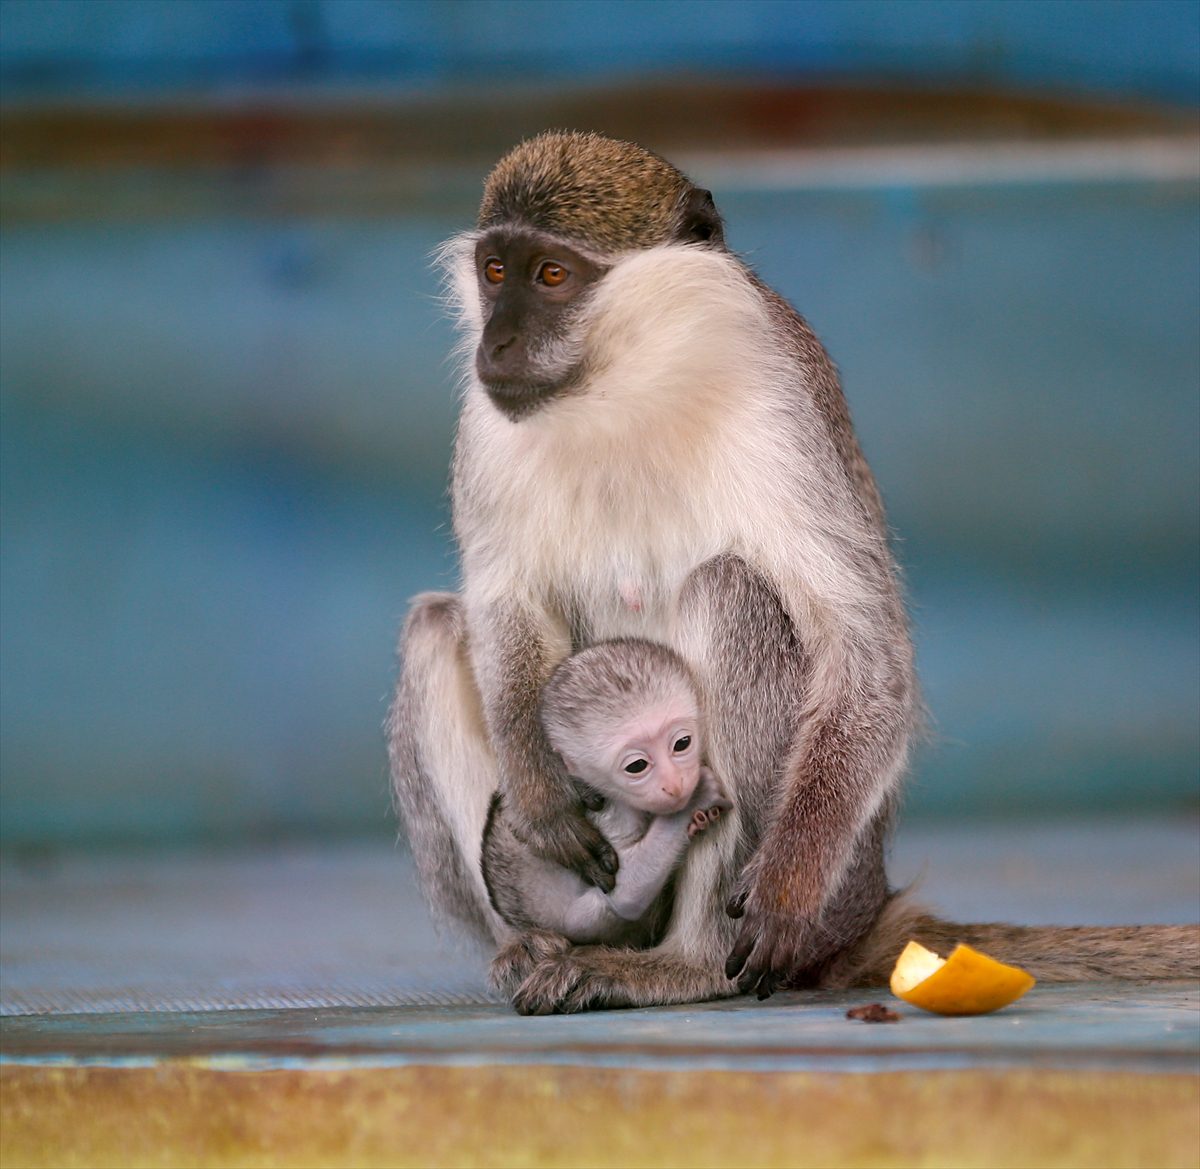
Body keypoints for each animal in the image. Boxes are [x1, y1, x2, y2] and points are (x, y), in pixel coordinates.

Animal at [480, 638, 724, 988]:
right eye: (637, 766)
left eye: (682, 743)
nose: (674, 784)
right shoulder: (611, 816)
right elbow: (625, 898)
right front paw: (695, 803)